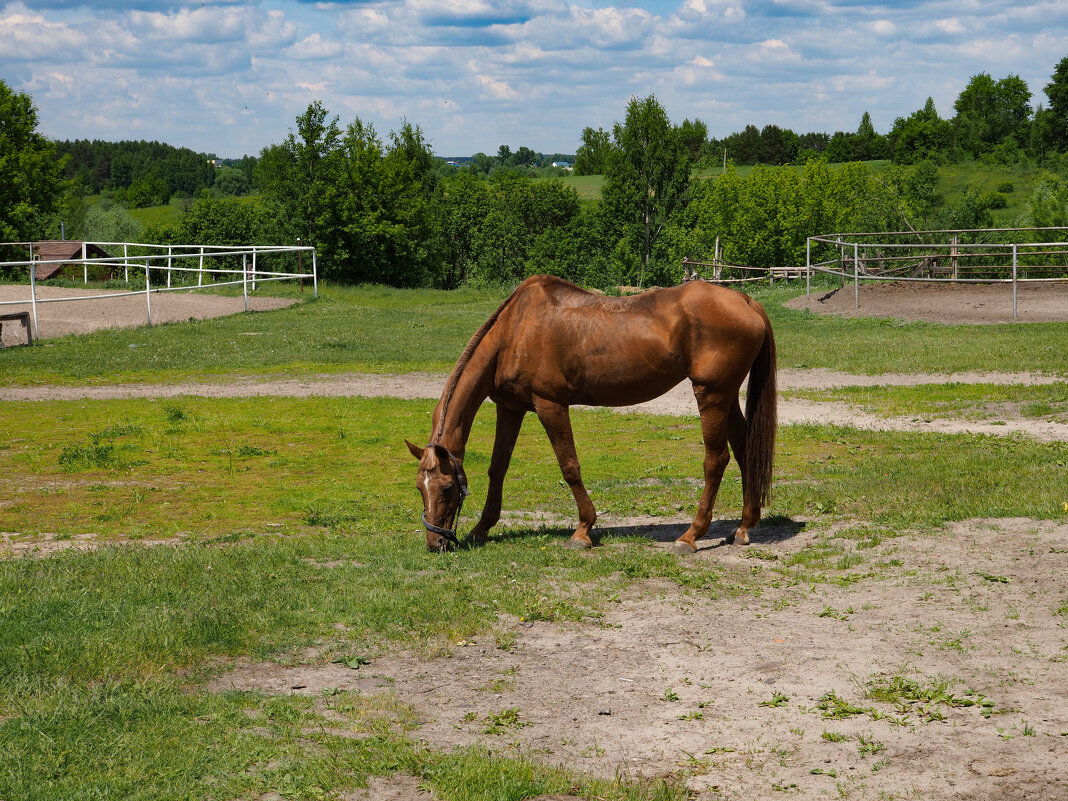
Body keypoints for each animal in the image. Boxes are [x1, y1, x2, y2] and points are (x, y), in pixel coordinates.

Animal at [405, 275, 777, 551]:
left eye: (447, 488)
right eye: (420, 488)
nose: (435, 544)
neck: (514, 331)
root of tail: (746, 301)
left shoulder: (550, 405)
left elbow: (569, 466)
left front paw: (583, 530)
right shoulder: (510, 408)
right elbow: (498, 469)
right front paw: (482, 528)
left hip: (711, 395)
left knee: (716, 461)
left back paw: (691, 536)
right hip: (725, 398)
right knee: (745, 452)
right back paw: (743, 528)